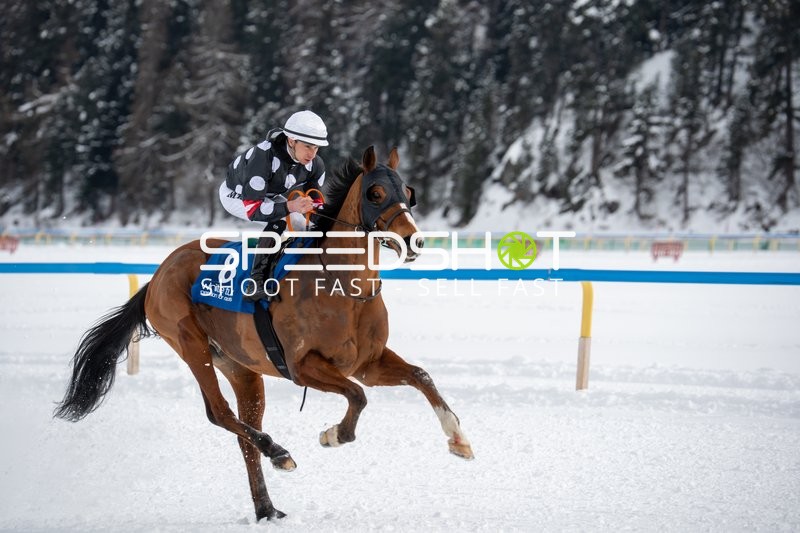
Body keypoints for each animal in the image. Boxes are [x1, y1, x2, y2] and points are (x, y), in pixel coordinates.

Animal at [54, 146, 474, 521]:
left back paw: (266, 507)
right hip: (191, 345)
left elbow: (420, 376)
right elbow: (358, 396)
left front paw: (458, 439)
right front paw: (333, 434)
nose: (414, 240)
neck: (343, 286)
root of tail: (158, 275)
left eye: (408, 191)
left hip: (240, 367)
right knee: (220, 414)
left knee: (245, 434)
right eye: (375, 193)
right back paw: (279, 453)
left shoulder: (367, 362)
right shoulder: (303, 366)